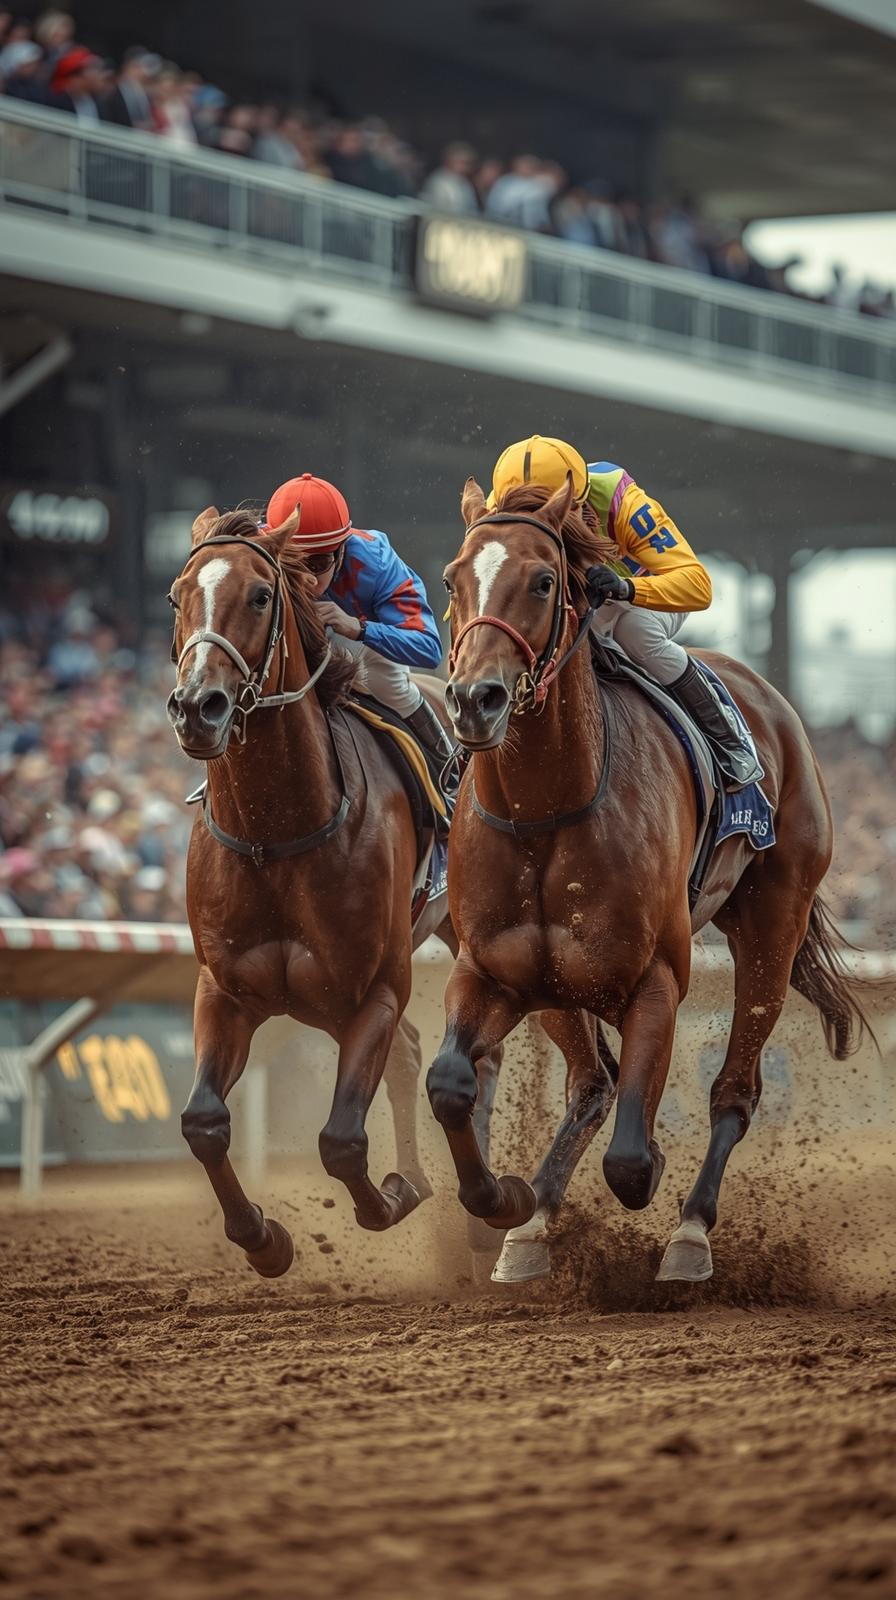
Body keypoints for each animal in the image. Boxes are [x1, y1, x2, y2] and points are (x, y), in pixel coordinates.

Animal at [425, 475, 872, 1283]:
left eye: (544, 581)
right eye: (451, 580)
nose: (475, 700)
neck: (547, 810)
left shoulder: (655, 978)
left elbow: (632, 1160)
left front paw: (656, 1179)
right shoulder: (494, 969)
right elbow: (449, 1084)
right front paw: (507, 1201)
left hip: (773, 921)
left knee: (734, 1091)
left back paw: (691, 1233)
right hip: (557, 985)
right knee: (591, 1085)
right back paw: (532, 1225)